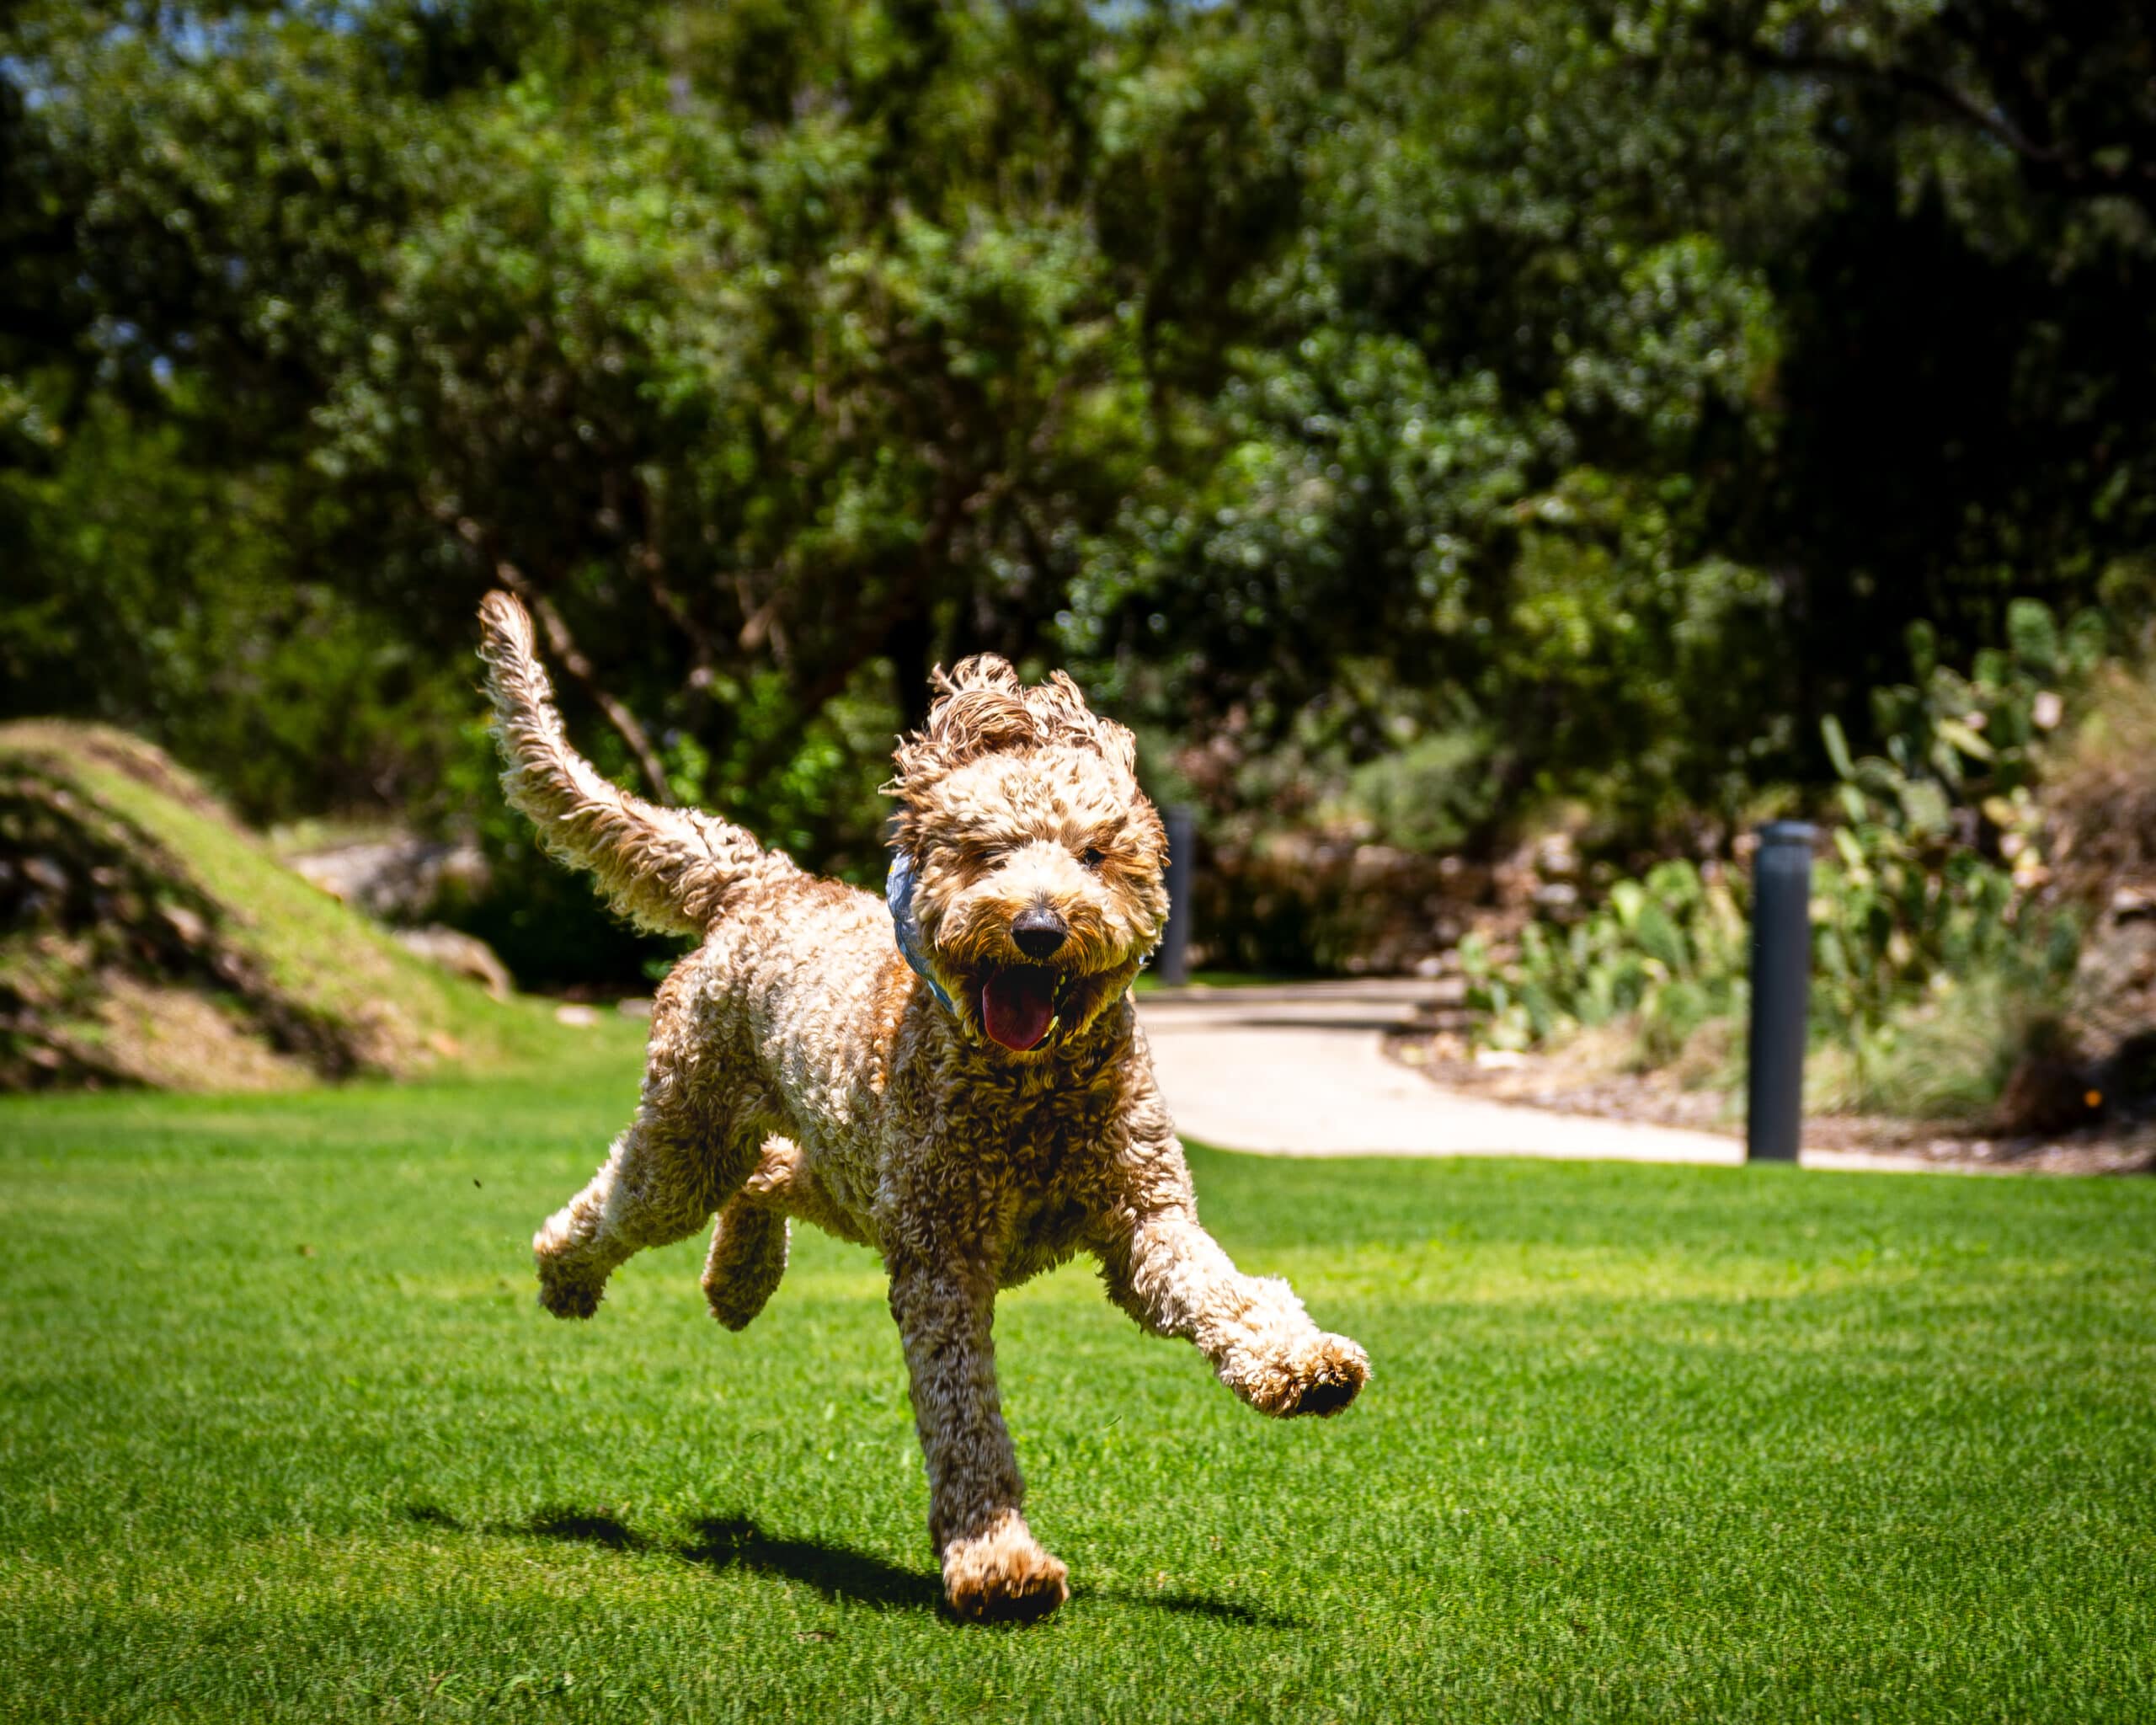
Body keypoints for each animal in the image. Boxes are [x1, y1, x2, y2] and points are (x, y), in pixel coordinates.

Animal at [480, 595, 1371, 1621]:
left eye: (1095, 855)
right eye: (987, 853)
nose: (1039, 927)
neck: (1031, 1088)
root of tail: (766, 879)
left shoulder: (1144, 1216)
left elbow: (1223, 1291)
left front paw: (1302, 1364)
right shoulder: (941, 1259)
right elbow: (963, 1411)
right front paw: (997, 1559)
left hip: (846, 1167)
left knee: (770, 1171)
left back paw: (738, 1280)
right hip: (700, 1141)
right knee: (625, 1202)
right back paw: (567, 1274)